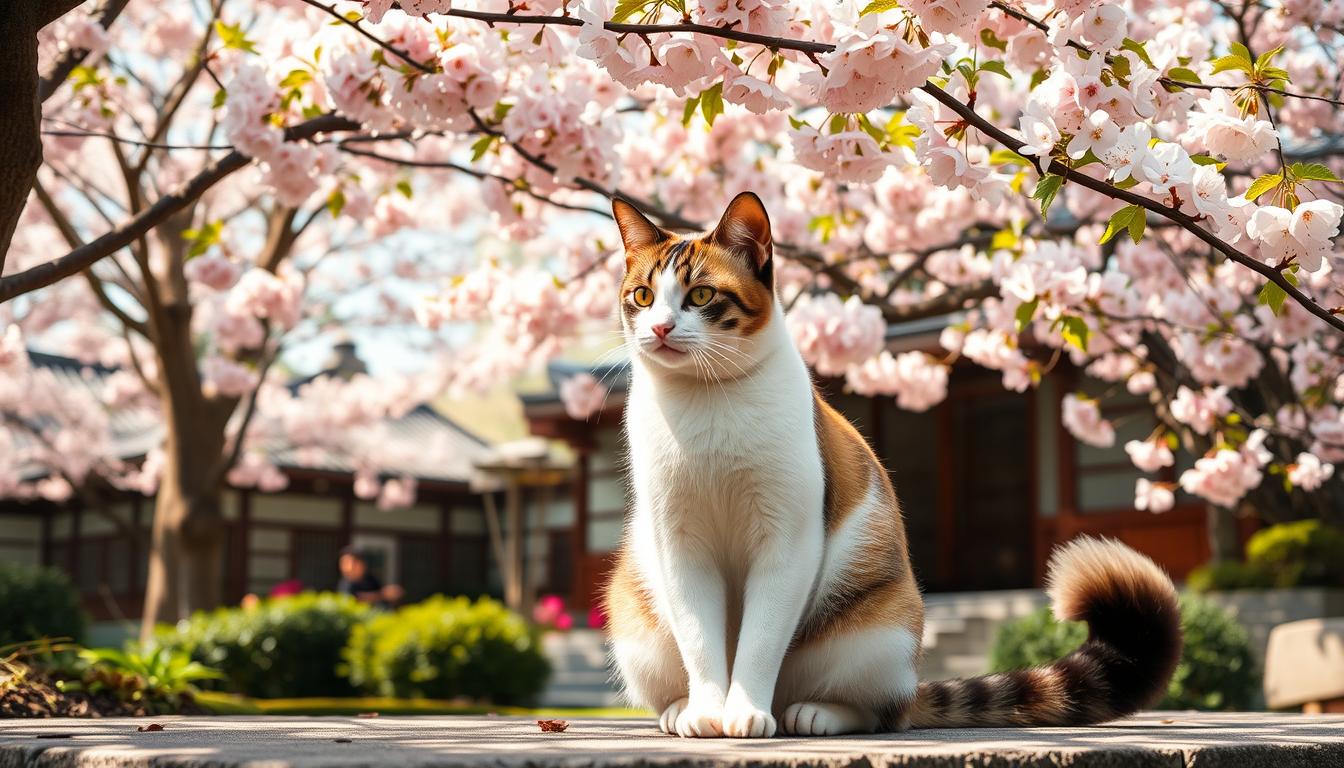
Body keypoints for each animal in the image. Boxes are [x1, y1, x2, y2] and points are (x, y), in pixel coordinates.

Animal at [604, 192, 1182, 737]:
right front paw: (708, 711)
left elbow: (761, 639)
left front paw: (744, 712)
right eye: (643, 296)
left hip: (879, 628)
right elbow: (700, 639)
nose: (659, 328)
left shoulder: (787, 540)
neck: (707, 400)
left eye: (700, 295)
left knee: (879, 708)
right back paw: (680, 710)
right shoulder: (679, 543)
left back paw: (812, 713)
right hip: (637, 621)